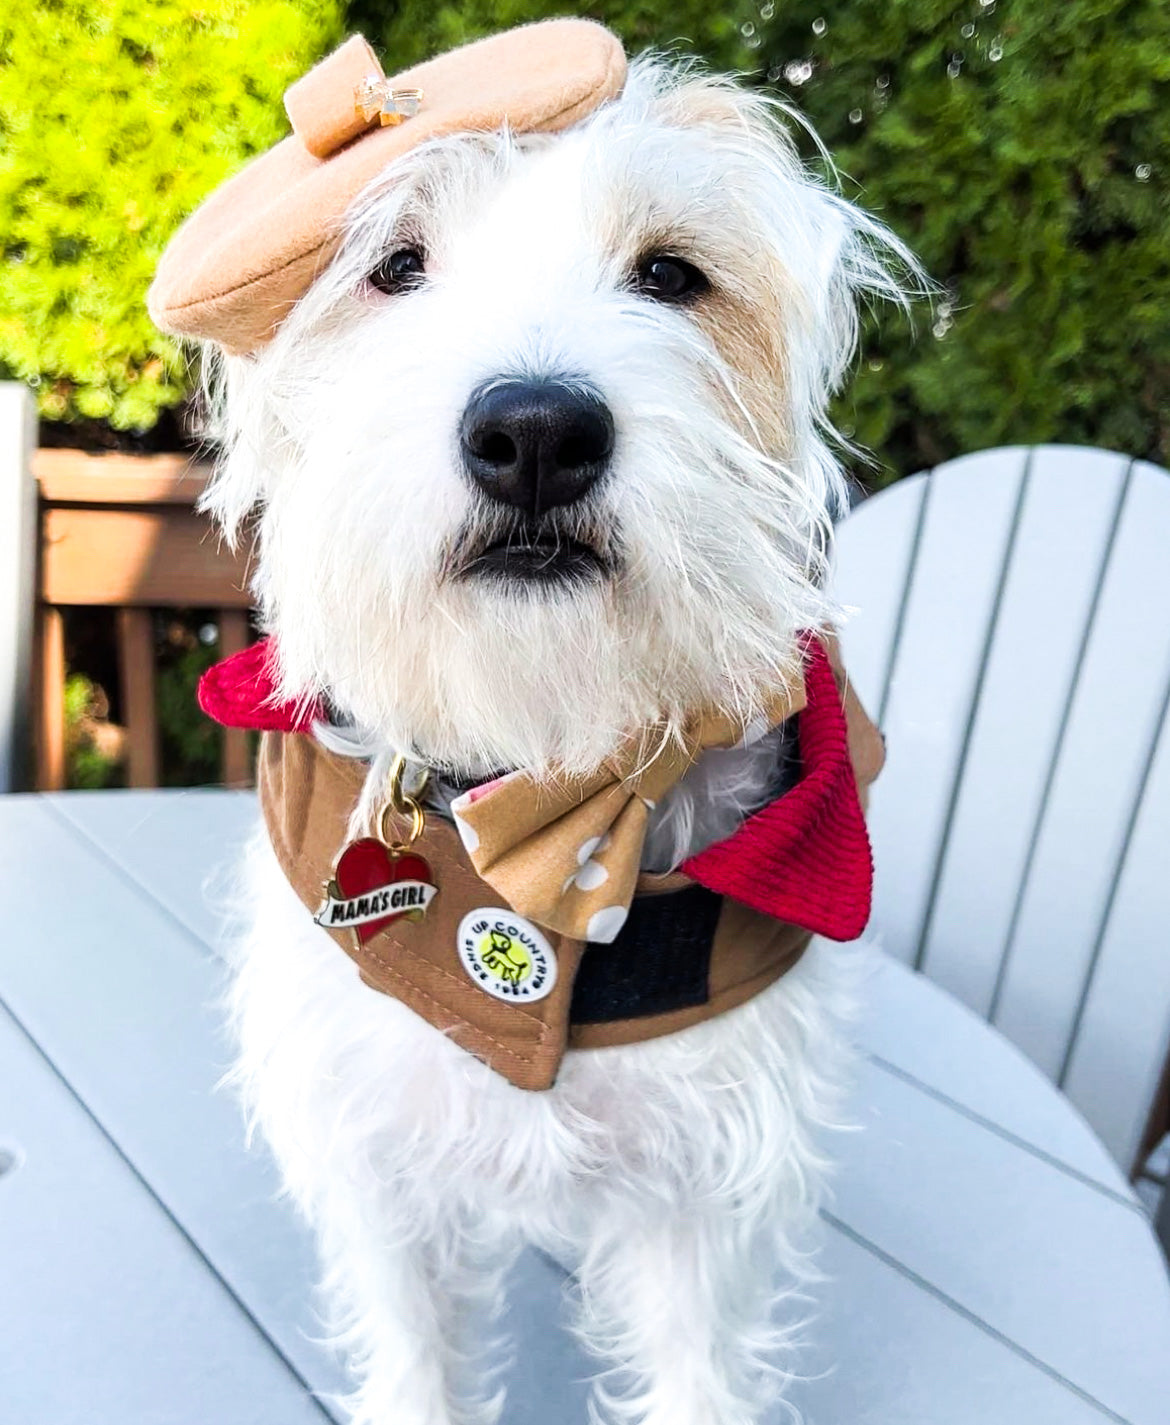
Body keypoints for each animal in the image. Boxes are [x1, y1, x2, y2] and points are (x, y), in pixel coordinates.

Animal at [189, 39, 912, 1425]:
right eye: (396, 265)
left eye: (672, 275)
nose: (536, 433)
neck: (541, 790)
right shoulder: (381, 1172)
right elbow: (418, 1360)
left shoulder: (705, 1203)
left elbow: (697, 1377)